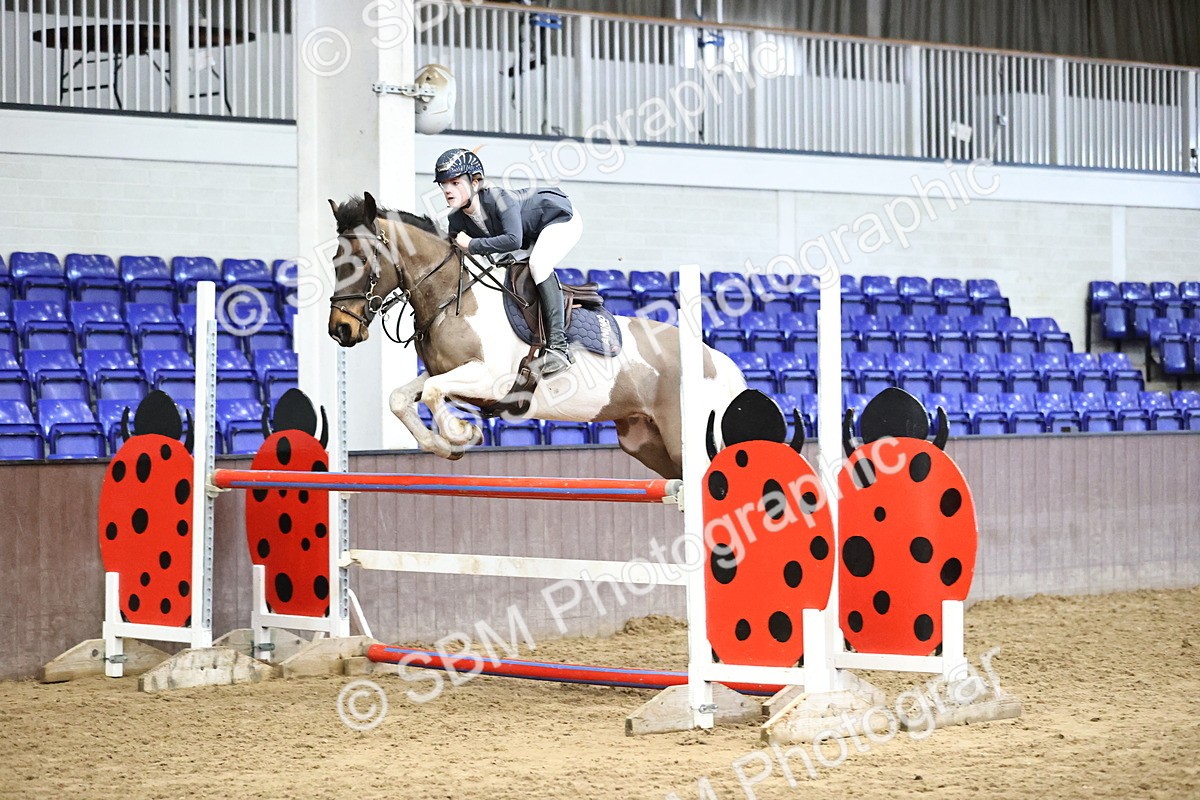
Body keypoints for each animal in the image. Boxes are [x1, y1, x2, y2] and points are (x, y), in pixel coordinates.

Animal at [325, 192, 746, 480]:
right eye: (333, 260)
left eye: (360, 261)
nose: (340, 329)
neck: (450, 298)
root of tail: (717, 360)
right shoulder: (448, 372)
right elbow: (402, 397)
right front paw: (446, 446)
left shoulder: (489, 379)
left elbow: (430, 393)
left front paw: (462, 432)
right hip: (647, 441)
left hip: (684, 440)